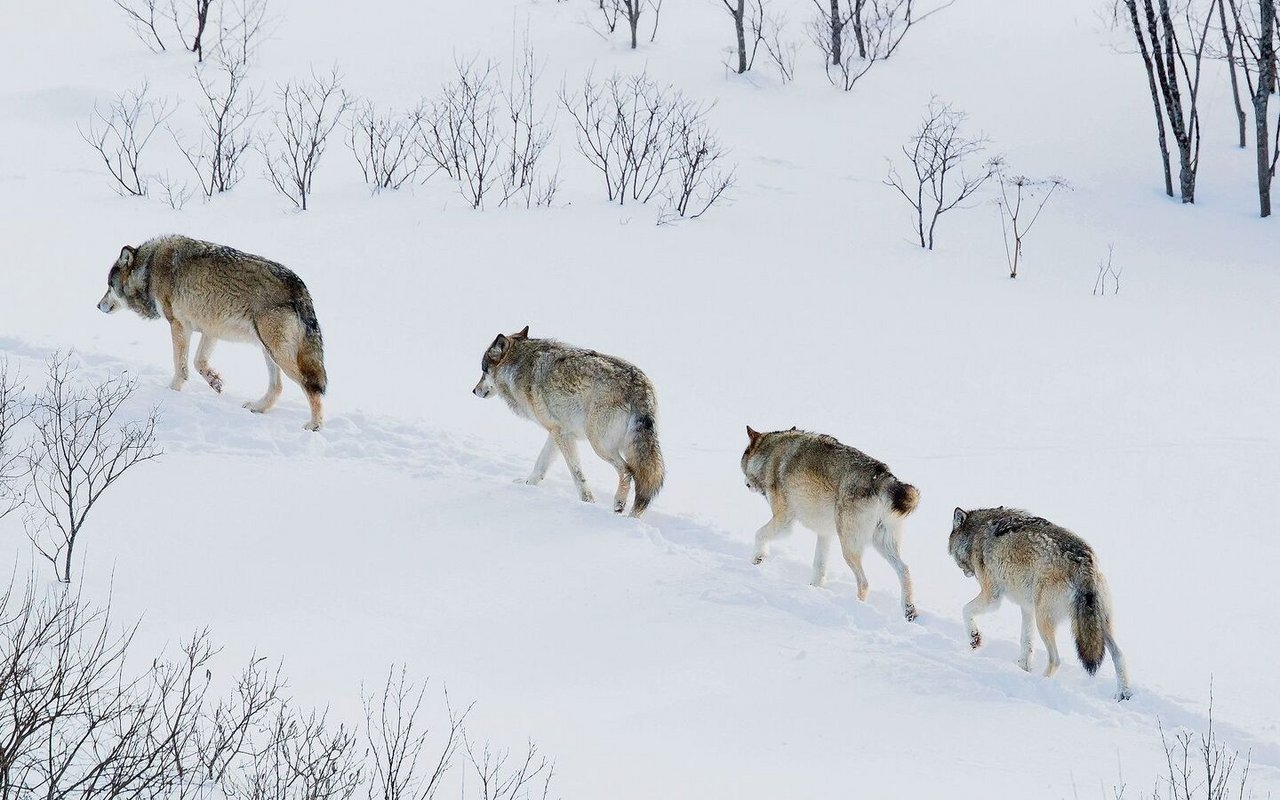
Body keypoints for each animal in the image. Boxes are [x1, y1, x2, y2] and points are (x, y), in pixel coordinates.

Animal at [100, 232, 330, 430]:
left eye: (109, 286)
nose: (98, 305)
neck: (149, 269)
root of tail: (300, 286)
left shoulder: (178, 325)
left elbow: (181, 366)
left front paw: (171, 392)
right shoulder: (210, 330)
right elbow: (198, 363)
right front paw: (215, 382)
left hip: (277, 353)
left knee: (309, 385)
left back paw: (315, 425)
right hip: (268, 350)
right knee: (277, 388)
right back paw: (257, 407)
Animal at [473, 326, 670, 517]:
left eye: (483, 371)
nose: (474, 390)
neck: (519, 366)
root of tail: (640, 387)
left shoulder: (563, 435)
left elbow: (577, 474)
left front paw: (588, 502)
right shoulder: (557, 432)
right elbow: (541, 464)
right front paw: (527, 485)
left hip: (599, 444)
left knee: (628, 471)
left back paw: (619, 507)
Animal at [742, 427, 921, 622]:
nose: (745, 484)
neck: (769, 455)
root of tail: (882, 475)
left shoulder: (784, 520)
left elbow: (759, 534)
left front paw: (757, 559)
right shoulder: (825, 533)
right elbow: (819, 567)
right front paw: (813, 590)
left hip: (849, 548)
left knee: (864, 582)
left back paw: (857, 607)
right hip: (880, 544)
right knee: (905, 570)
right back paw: (909, 611)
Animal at [947, 504, 1136, 696]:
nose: (965, 572)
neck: (976, 534)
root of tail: (1084, 563)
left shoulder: (992, 596)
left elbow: (965, 610)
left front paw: (974, 639)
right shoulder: (1027, 608)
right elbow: (1026, 643)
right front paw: (1022, 668)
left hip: (1044, 620)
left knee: (1056, 659)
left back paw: (1040, 682)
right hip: (1096, 625)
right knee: (1119, 655)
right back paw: (1123, 694)